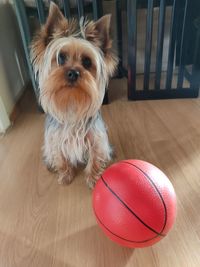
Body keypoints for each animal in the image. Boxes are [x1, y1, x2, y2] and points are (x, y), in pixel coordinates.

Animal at [30, 1, 118, 188]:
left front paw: (93, 178)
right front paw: (65, 175)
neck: (71, 103)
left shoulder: (96, 139)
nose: (73, 73)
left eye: (87, 62)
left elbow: (95, 157)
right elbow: (61, 158)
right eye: (60, 58)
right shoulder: (55, 140)